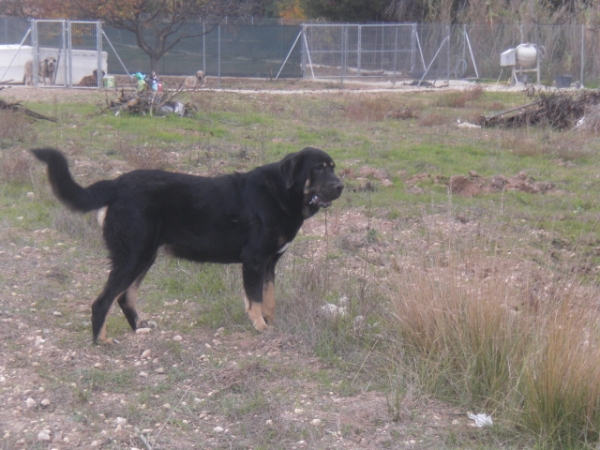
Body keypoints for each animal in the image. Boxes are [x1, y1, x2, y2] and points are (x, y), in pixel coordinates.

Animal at [31, 149, 342, 344]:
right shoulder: (254, 260)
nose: (340, 186)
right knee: (102, 301)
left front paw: (270, 324)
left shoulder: (269, 263)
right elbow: (254, 300)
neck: (282, 193)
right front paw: (260, 327)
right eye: (318, 169)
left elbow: (270, 299)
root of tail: (116, 184)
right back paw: (101, 341)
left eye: (333, 168)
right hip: (134, 256)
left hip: (145, 256)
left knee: (124, 297)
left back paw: (140, 329)